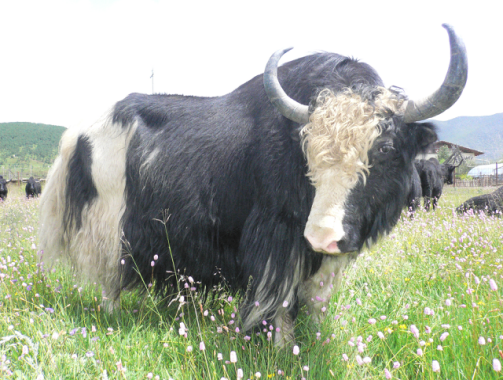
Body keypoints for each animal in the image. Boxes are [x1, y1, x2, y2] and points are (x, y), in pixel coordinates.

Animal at [40, 23, 468, 344]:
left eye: (385, 148)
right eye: (307, 151)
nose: (322, 236)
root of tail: (74, 135)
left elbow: (316, 299)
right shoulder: (275, 238)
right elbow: (276, 299)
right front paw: (281, 349)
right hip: (108, 222)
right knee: (108, 275)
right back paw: (112, 318)